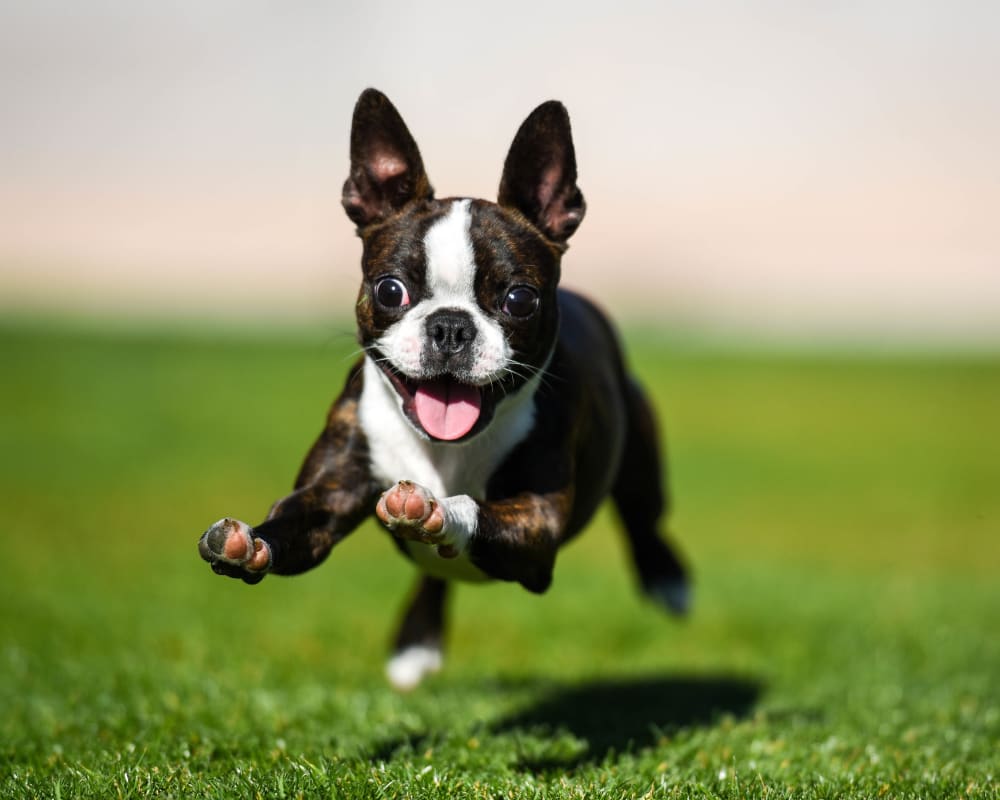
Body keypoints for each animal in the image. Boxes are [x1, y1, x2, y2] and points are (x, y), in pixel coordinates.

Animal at [199, 87, 692, 688]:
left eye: (520, 299)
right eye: (390, 290)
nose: (451, 327)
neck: (444, 450)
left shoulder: (537, 522)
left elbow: (471, 507)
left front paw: (435, 509)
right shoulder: (330, 492)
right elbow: (294, 521)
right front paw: (249, 544)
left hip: (640, 458)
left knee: (646, 518)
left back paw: (669, 581)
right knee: (436, 575)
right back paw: (417, 643)